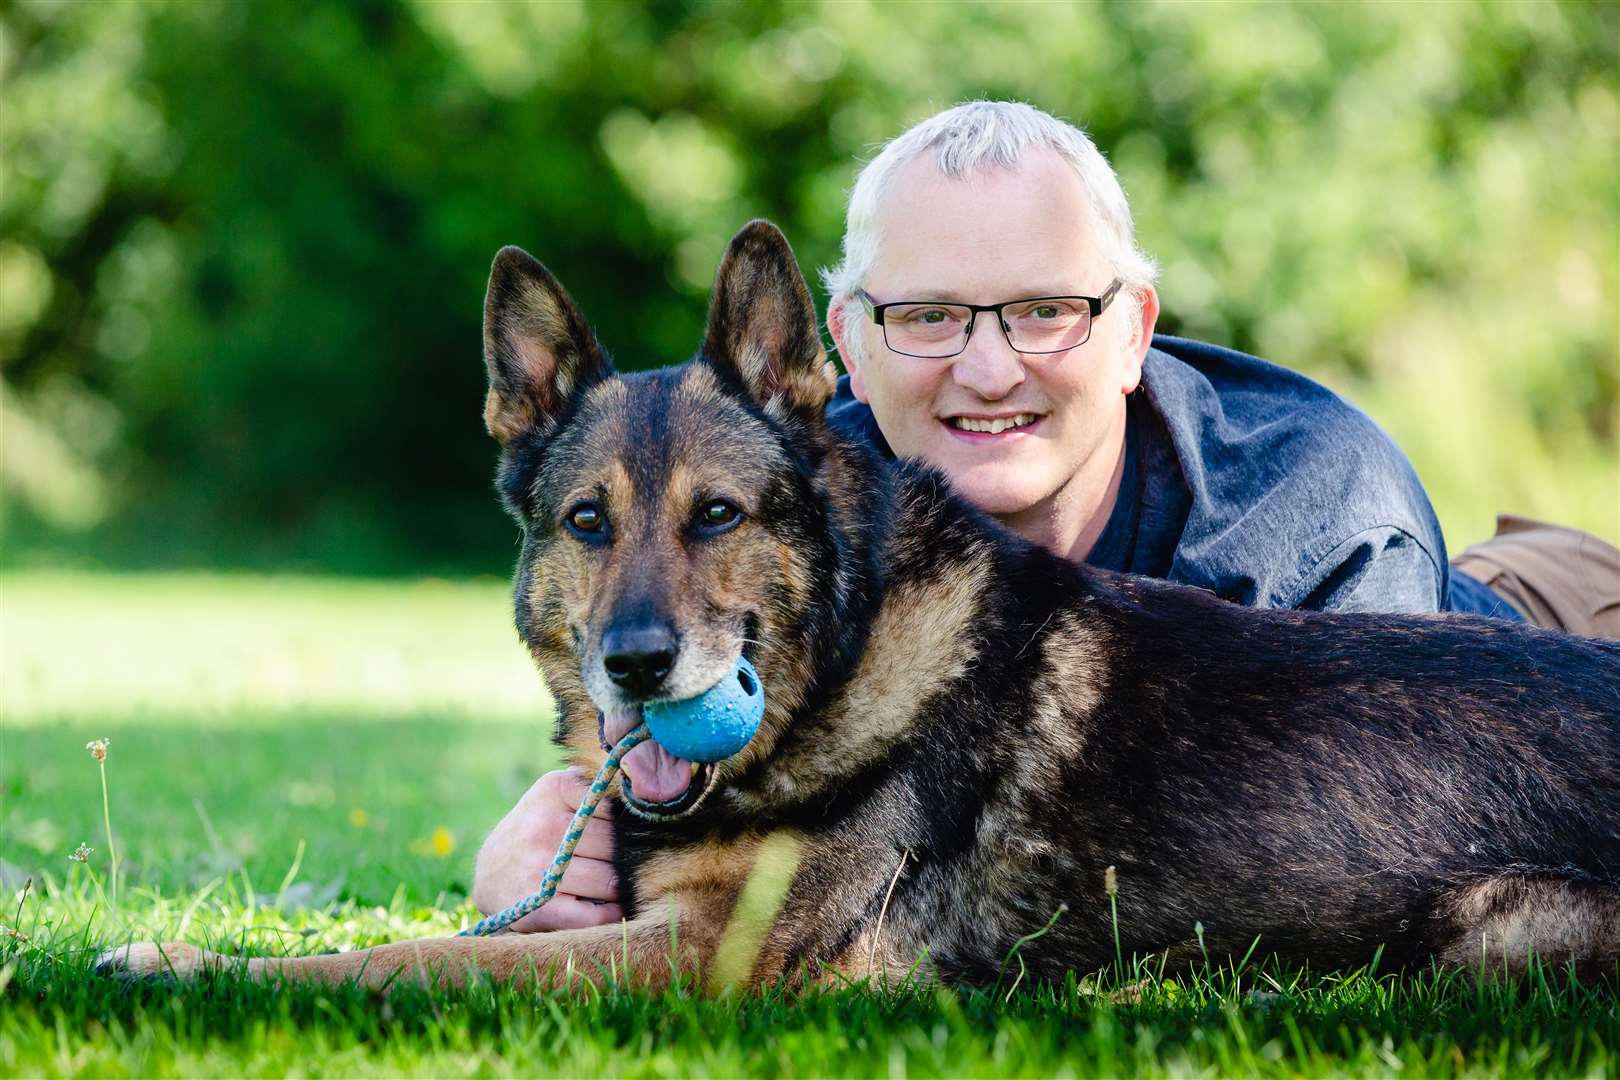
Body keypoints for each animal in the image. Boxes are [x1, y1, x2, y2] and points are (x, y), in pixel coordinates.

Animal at [104, 223, 1620, 990]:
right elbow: (436, 934)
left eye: (718, 516)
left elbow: (404, 962)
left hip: (1490, 940)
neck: (844, 668)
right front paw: (180, 941)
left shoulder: (704, 960)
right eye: (588, 523)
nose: (640, 664)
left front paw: (195, 969)